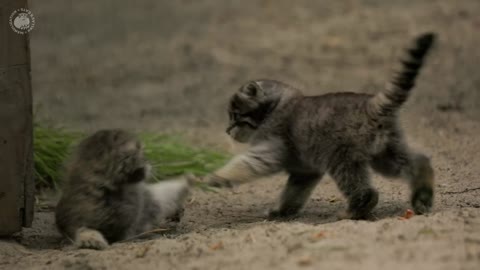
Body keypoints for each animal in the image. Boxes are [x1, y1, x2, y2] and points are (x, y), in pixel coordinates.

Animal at [204, 33, 436, 219]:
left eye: (235, 116)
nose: (227, 130)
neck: (278, 104)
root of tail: (370, 104)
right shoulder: (304, 171)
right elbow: (293, 193)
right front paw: (283, 211)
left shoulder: (272, 146)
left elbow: (249, 163)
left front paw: (217, 176)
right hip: (385, 153)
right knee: (417, 162)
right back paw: (422, 194)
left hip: (342, 158)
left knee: (365, 190)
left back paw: (354, 211)